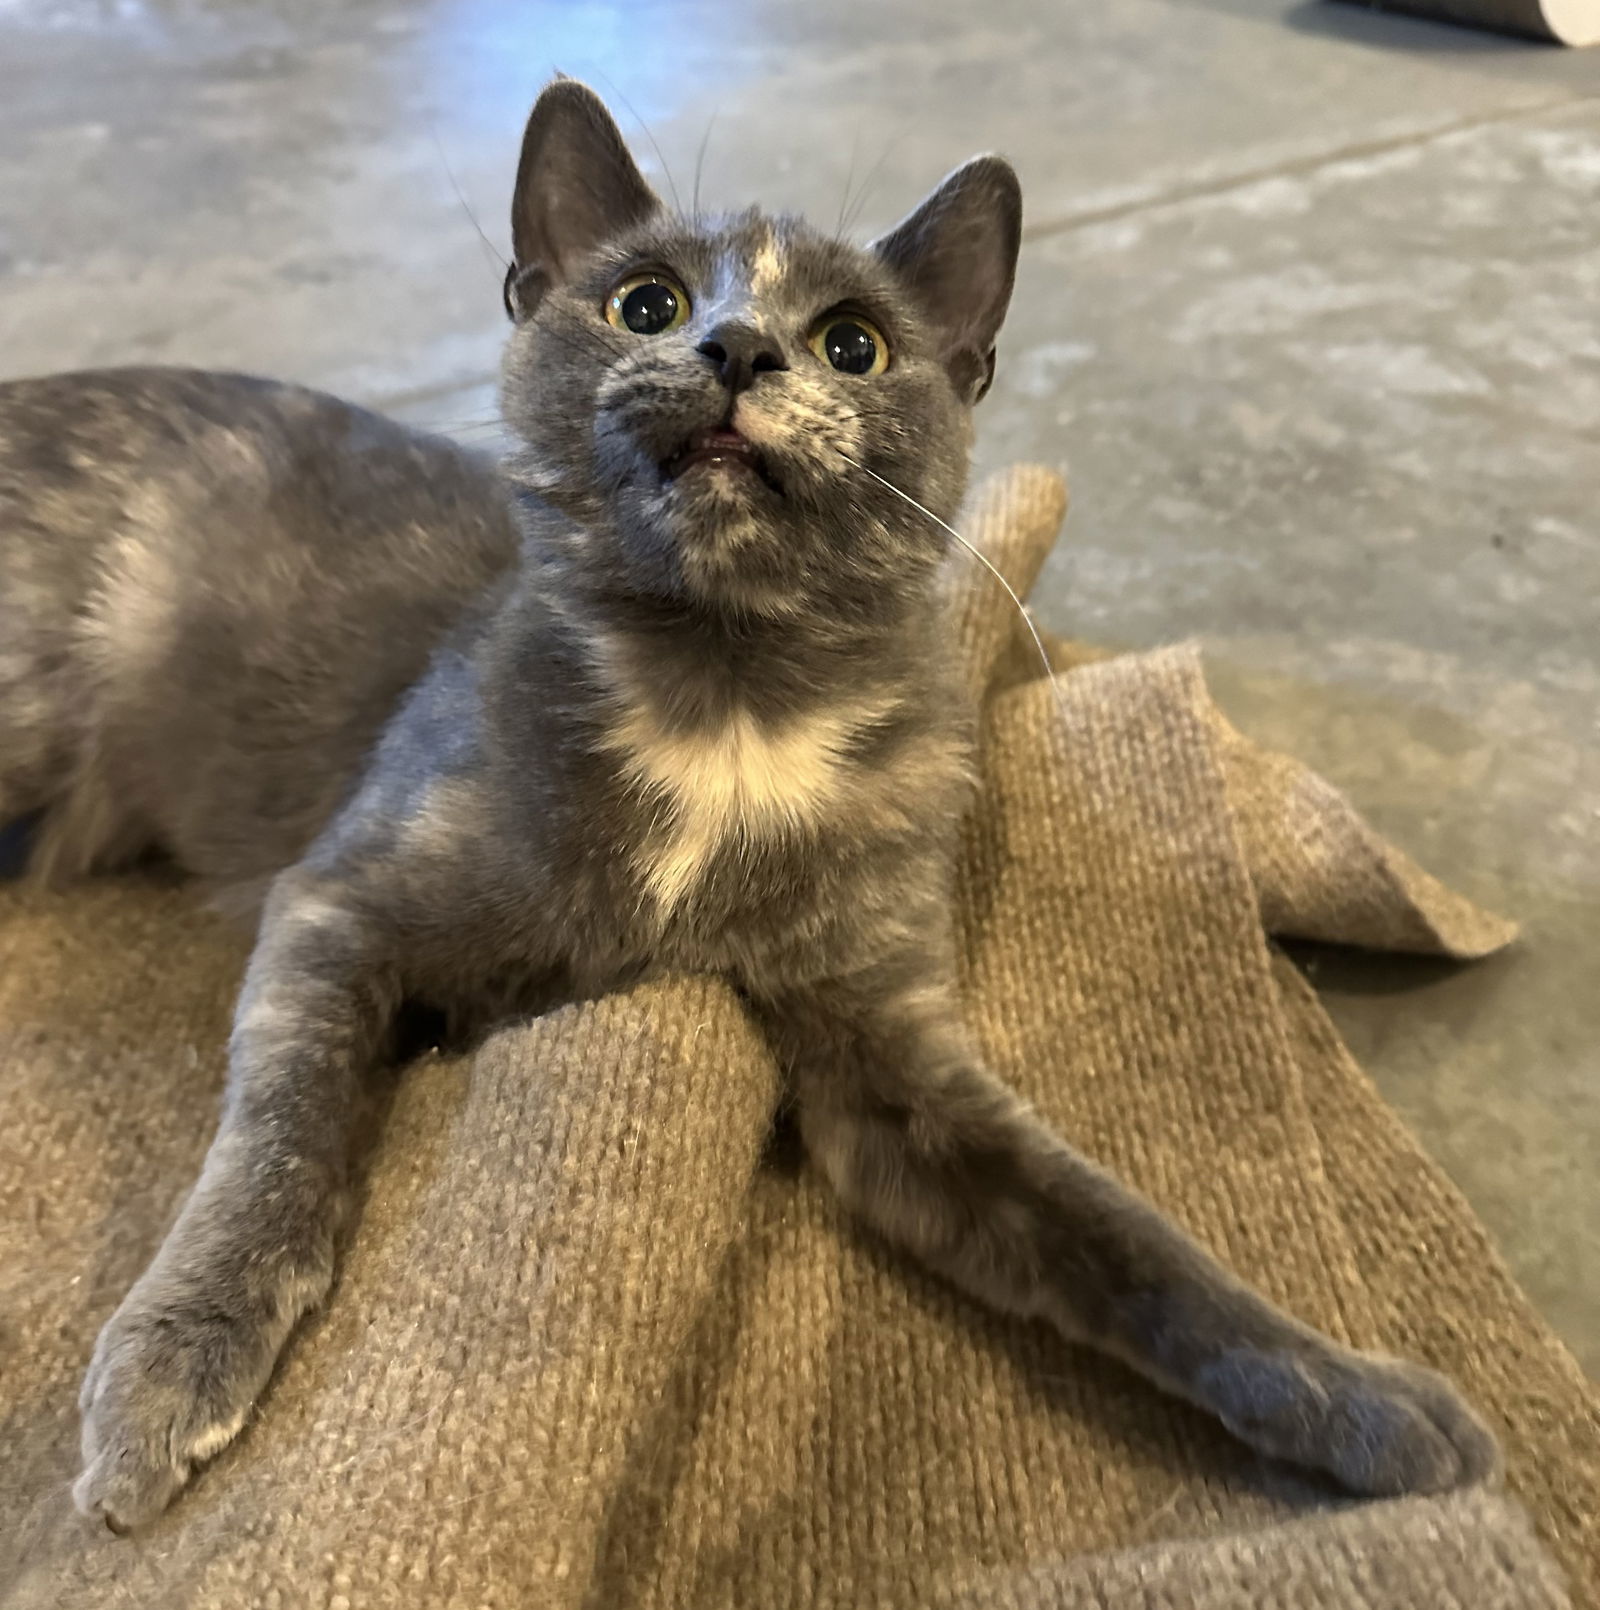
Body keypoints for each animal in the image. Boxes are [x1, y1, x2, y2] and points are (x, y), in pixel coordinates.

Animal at [0, 78, 1493, 1532]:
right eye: (645, 303)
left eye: (854, 345)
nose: (736, 351)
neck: (724, 701)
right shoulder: (338, 902)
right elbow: (279, 1133)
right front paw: (170, 1368)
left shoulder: (887, 1053)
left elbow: (1119, 1228)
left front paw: (1362, 1400)